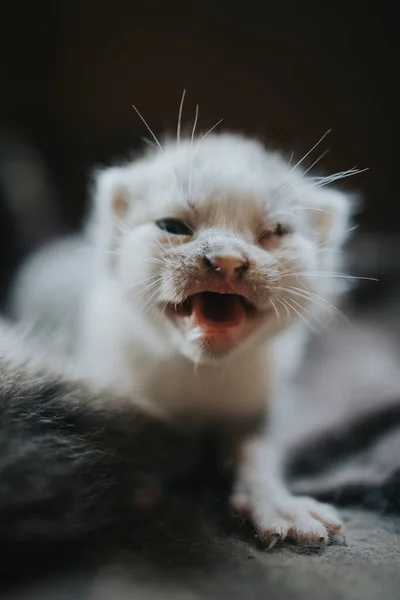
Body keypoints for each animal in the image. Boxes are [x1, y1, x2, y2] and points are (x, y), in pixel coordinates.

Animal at [11, 134, 354, 548]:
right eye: (172, 225)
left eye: (277, 230)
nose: (227, 259)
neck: (199, 383)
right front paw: (141, 486)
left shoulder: (265, 394)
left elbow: (259, 447)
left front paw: (279, 506)